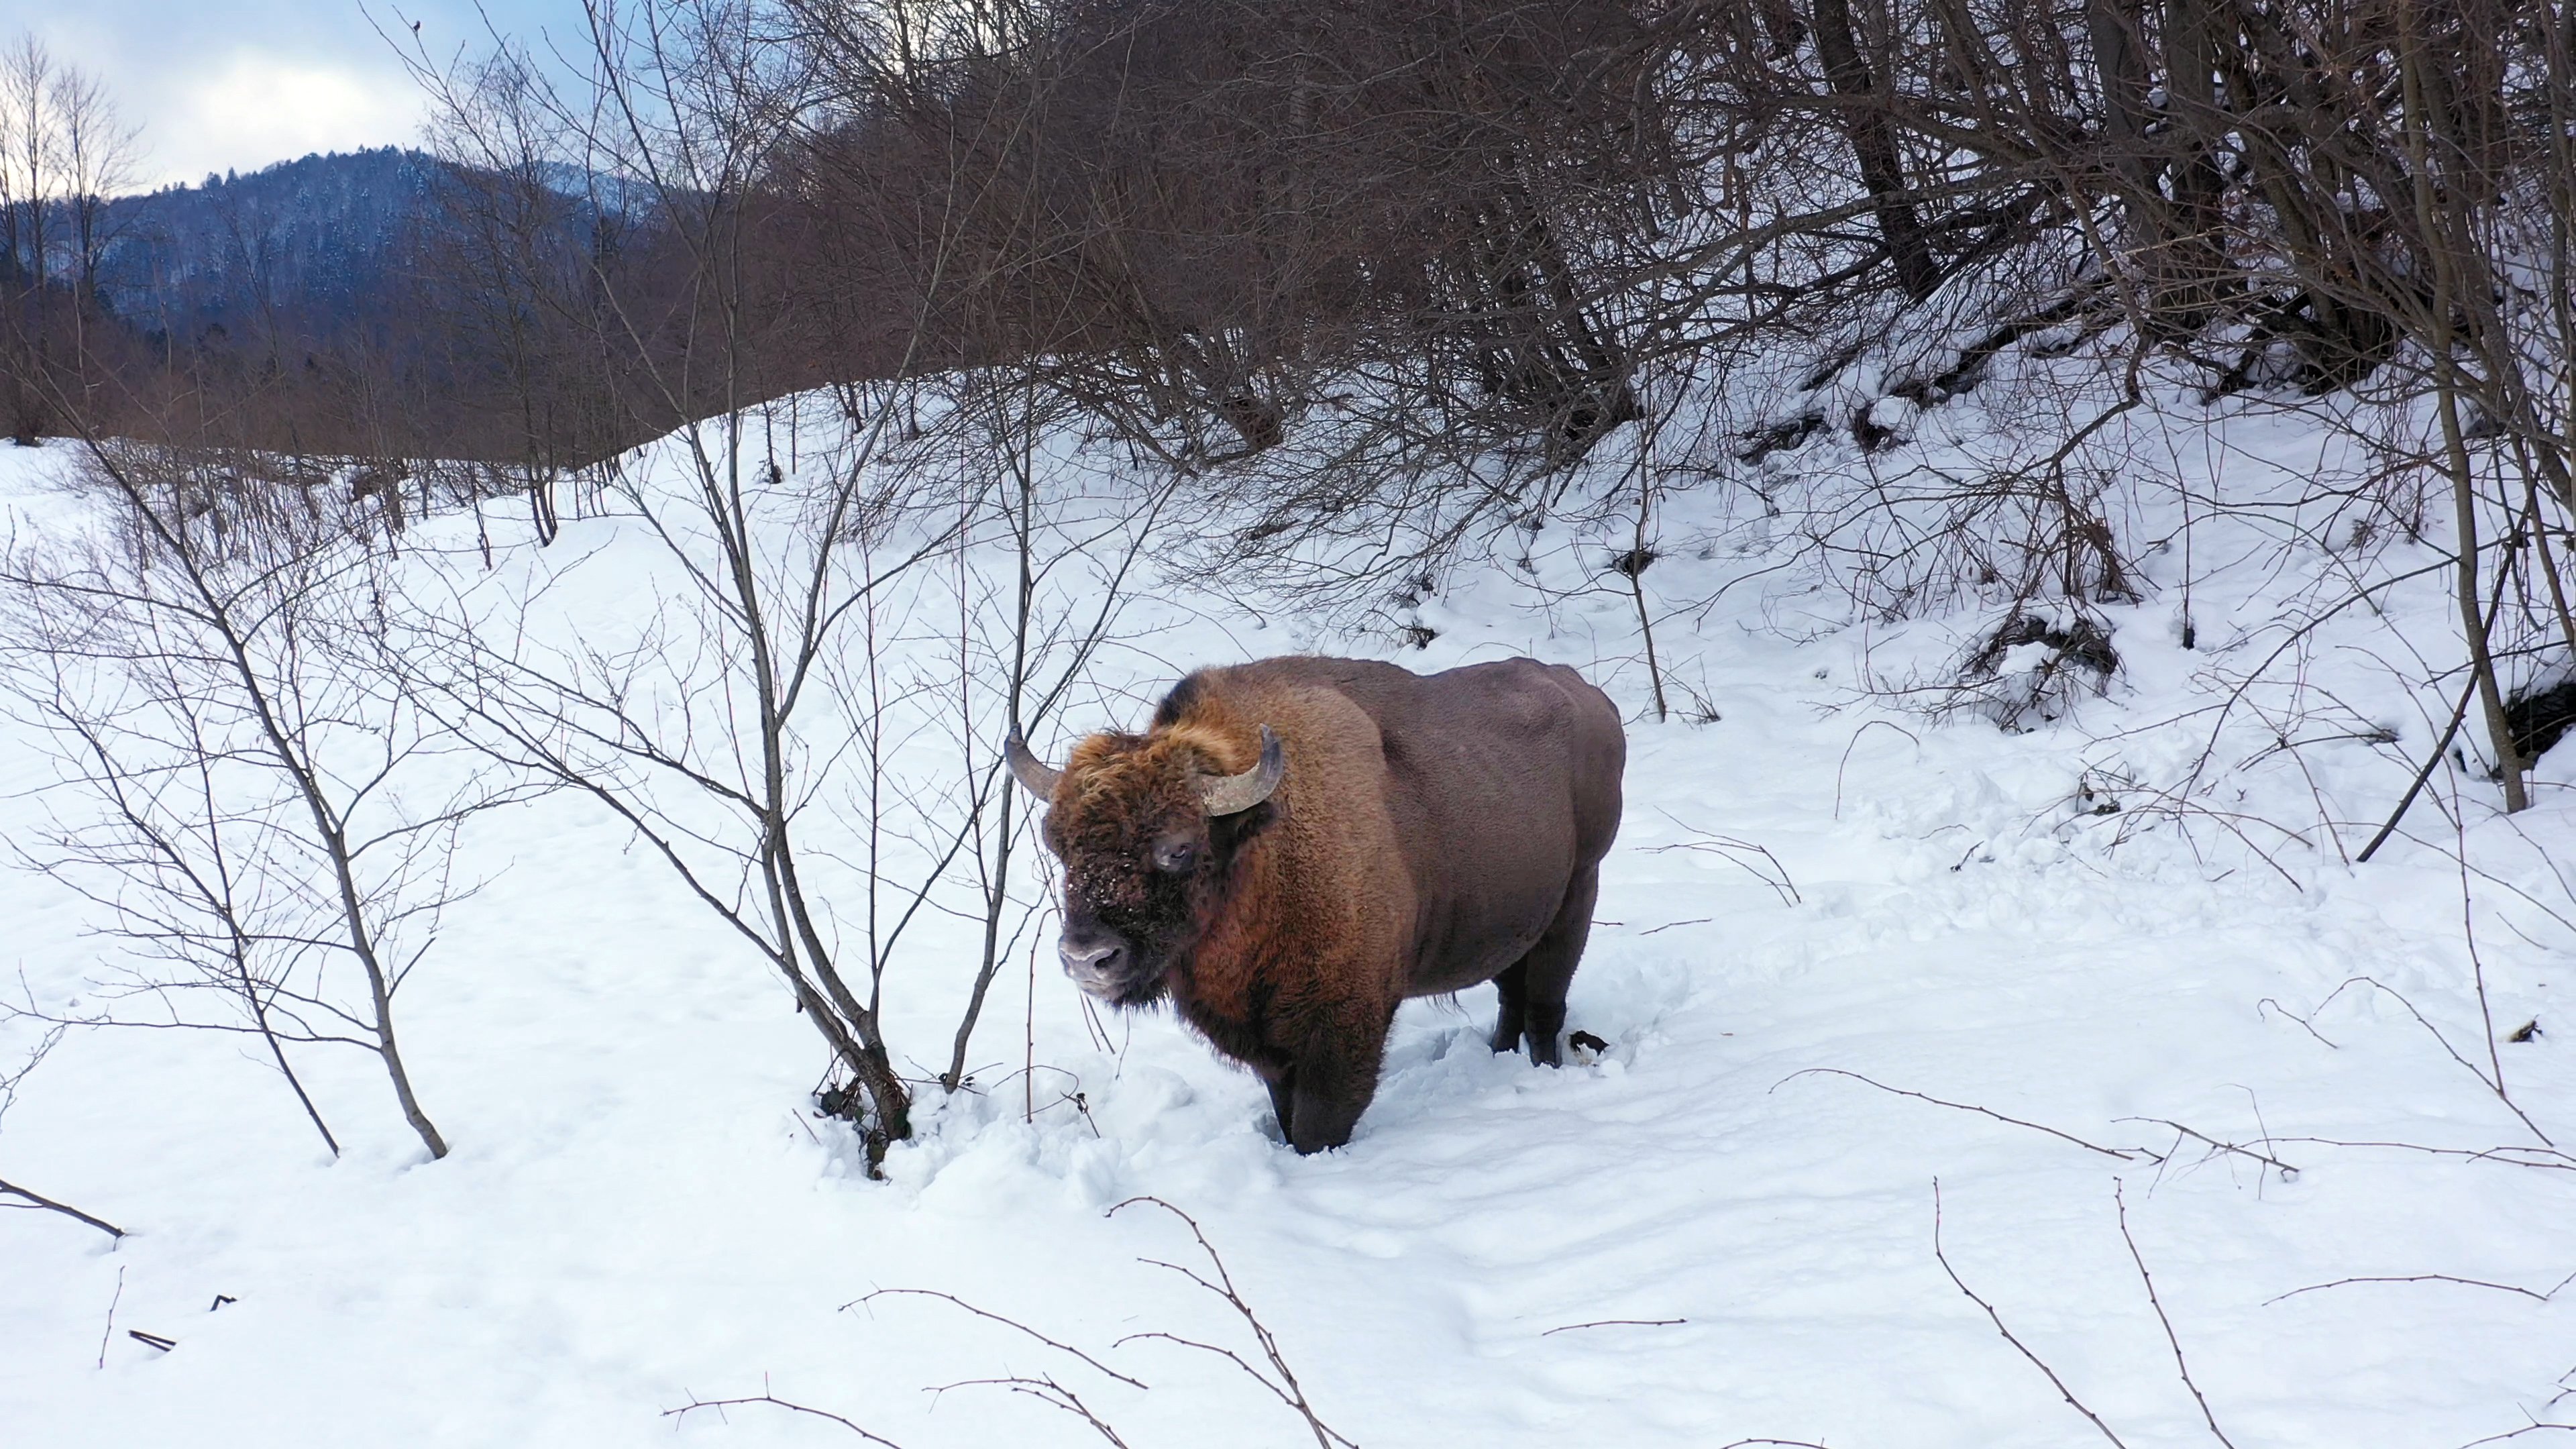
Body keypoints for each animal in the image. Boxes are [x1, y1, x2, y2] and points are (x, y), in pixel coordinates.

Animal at [1010, 657, 1627, 1150]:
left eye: (1178, 848)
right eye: (1057, 843)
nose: (1087, 958)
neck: (1264, 848)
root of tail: (1590, 695)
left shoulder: (1342, 1028)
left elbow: (1319, 1124)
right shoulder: (1269, 1044)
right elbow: (1287, 1112)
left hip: (1577, 895)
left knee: (1544, 1008)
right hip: (1513, 923)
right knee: (1511, 999)